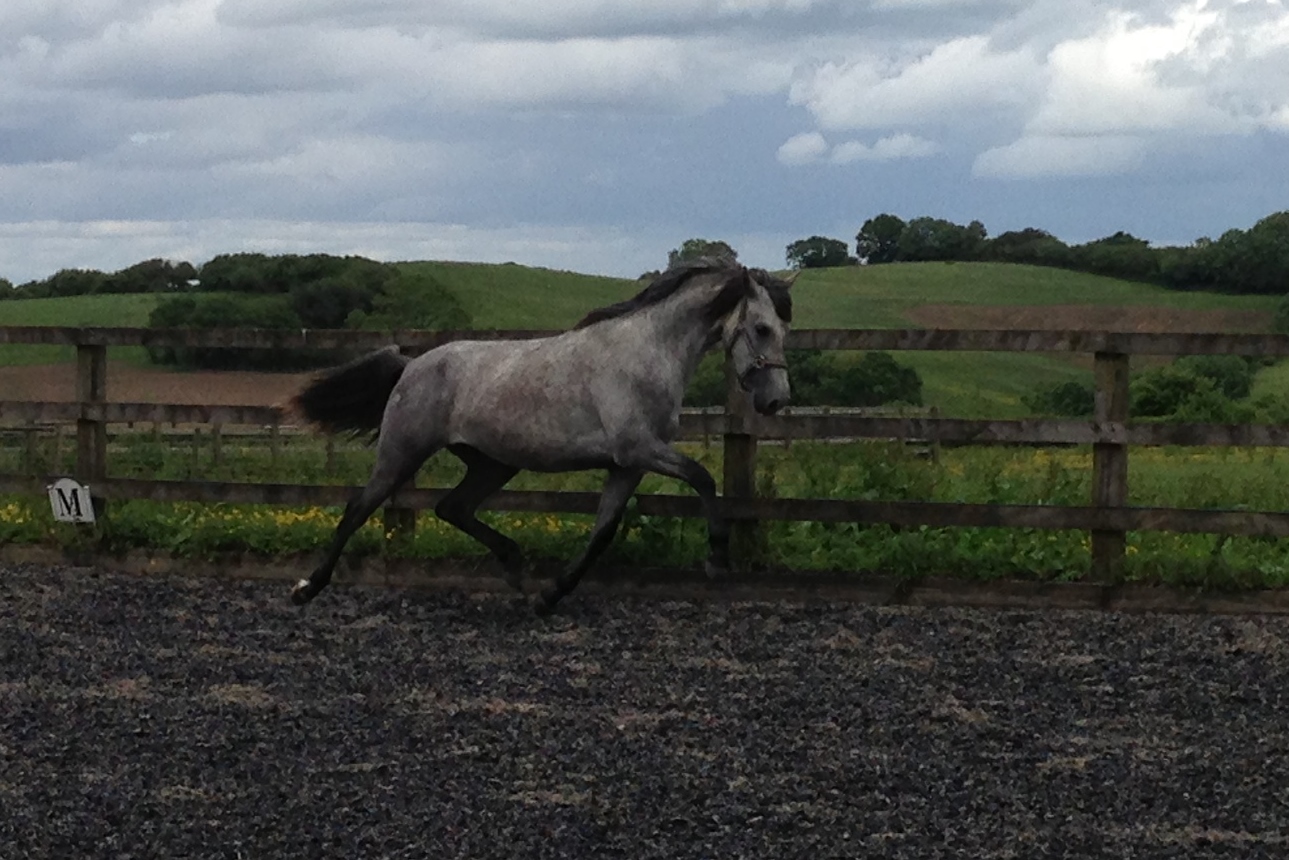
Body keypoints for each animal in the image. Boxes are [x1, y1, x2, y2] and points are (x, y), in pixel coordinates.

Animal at [287, 257, 788, 611]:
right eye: (762, 328)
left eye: (783, 328)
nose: (776, 401)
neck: (646, 352)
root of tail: (411, 365)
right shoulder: (640, 448)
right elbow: (703, 477)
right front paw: (717, 560)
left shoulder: (627, 465)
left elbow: (604, 531)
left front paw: (551, 596)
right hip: (401, 453)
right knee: (357, 509)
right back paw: (307, 587)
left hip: (493, 464)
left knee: (453, 507)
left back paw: (514, 566)